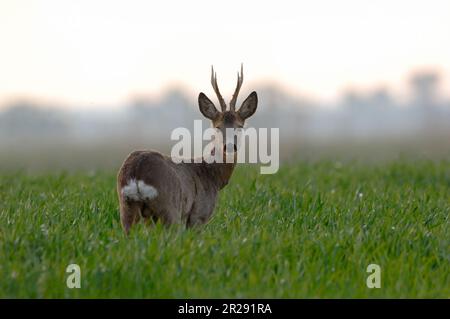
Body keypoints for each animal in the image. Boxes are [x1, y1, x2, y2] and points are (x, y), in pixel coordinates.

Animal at [116, 65, 256, 235]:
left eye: (240, 126)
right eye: (217, 127)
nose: (229, 146)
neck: (213, 176)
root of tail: (137, 172)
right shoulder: (199, 213)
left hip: (127, 207)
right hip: (169, 208)